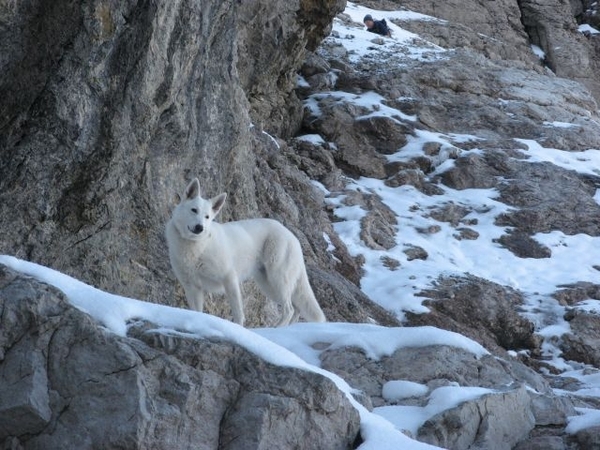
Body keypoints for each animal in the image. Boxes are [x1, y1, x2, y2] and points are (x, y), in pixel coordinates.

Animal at [165, 177, 328, 326]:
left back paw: (276, 329)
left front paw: (238, 328)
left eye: (207, 217)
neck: (197, 247)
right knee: (296, 308)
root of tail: (292, 236)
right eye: (194, 210)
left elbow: (237, 312)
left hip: (277, 279)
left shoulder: (229, 278)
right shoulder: (192, 287)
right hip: (268, 285)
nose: (200, 227)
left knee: (289, 309)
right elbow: (197, 311)